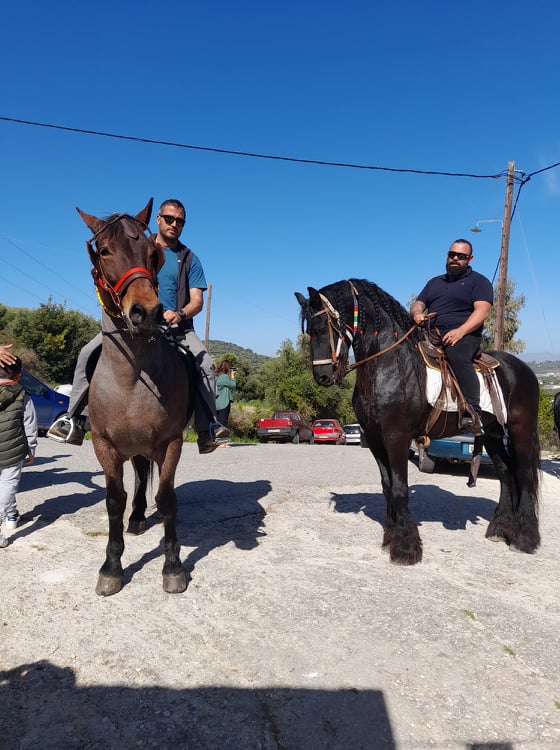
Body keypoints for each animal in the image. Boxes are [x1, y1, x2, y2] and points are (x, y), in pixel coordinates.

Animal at [79, 200, 195, 600]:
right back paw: (137, 517)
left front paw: (173, 566)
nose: (146, 311)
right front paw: (111, 567)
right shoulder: (104, 444)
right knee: (141, 472)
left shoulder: (172, 442)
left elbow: (169, 499)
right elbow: (114, 500)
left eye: (152, 253)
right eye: (103, 251)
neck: (132, 378)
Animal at [296, 280, 540, 564]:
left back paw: (525, 539)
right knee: (506, 475)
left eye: (323, 326)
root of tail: (524, 370)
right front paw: (391, 537)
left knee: (524, 476)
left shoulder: (396, 436)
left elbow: (400, 488)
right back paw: (500, 529)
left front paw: (405, 547)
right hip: (491, 435)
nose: (323, 376)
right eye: (308, 331)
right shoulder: (375, 439)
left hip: (521, 429)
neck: (390, 365)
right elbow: (388, 486)